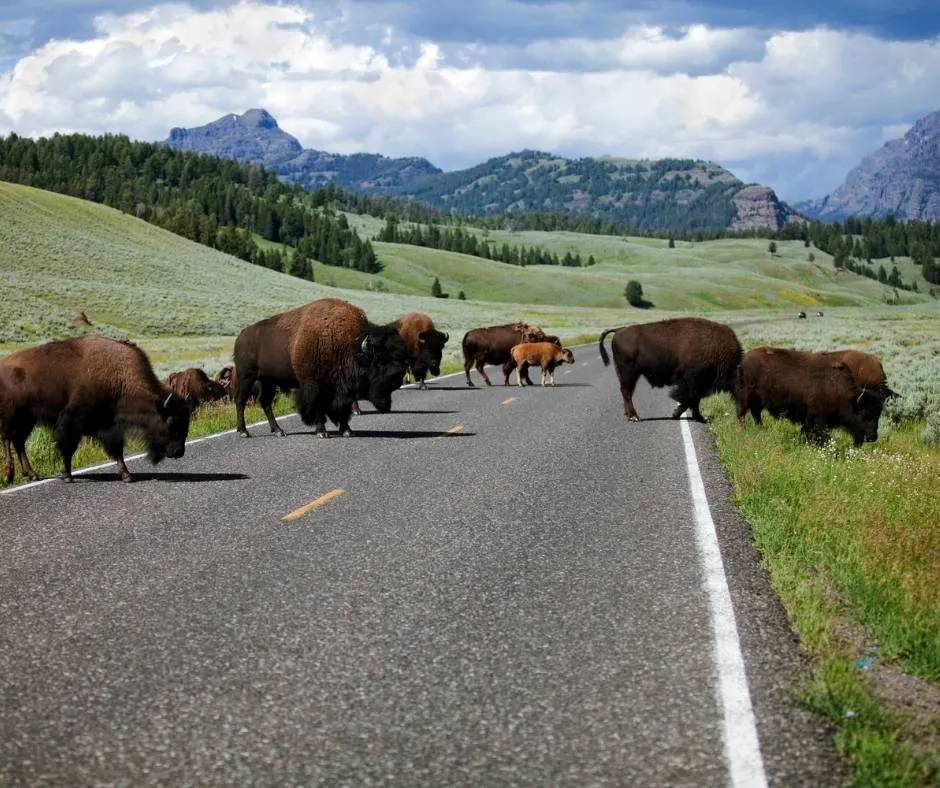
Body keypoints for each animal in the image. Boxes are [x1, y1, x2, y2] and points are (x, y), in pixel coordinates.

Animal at [0, 336, 193, 484]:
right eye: (173, 422)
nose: (179, 452)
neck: (121, 378)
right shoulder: (72, 422)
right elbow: (68, 448)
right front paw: (67, 476)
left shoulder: (110, 426)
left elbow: (117, 451)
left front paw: (127, 475)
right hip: (14, 415)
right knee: (8, 439)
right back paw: (10, 475)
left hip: (28, 420)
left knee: (18, 442)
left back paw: (32, 475)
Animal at [233, 298, 410, 440]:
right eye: (379, 362)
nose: (398, 377)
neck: (350, 346)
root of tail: (241, 336)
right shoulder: (314, 385)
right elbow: (317, 407)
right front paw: (322, 432)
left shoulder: (342, 389)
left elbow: (342, 409)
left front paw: (347, 430)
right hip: (247, 377)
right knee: (241, 401)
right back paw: (244, 432)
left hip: (268, 380)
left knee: (265, 402)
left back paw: (278, 431)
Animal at [600, 318, 744, 422]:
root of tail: (619, 330)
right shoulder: (692, 381)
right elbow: (691, 399)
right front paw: (682, 415)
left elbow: (694, 400)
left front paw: (696, 417)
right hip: (628, 373)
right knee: (627, 392)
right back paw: (634, 417)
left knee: (626, 392)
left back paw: (630, 415)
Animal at [732, 348, 892, 446]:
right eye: (865, 414)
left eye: (878, 414)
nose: (872, 437)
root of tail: (744, 359)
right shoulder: (818, 419)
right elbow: (818, 435)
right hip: (746, 396)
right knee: (742, 412)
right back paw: (743, 430)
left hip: (758, 401)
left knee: (756, 414)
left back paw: (761, 429)